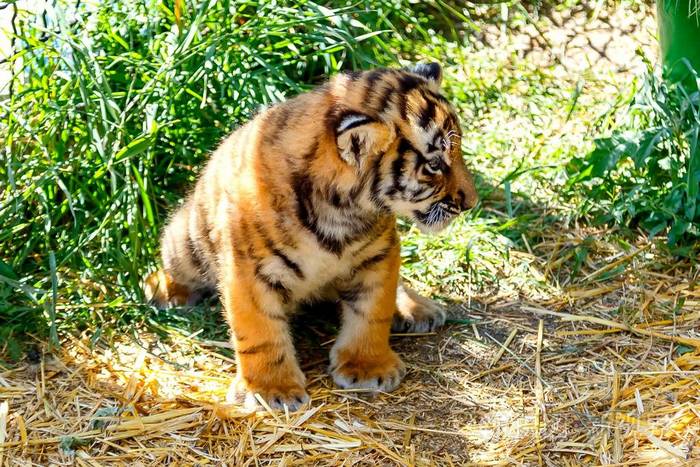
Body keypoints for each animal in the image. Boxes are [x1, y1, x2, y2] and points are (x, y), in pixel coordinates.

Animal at [144, 62, 478, 411]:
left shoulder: (380, 253)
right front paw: (271, 390)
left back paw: (417, 310)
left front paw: (368, 367)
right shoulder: (248, 271)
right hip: (183, 244)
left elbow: (373, 311)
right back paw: (164, 290)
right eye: (435, 164)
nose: (472, 202)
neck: (342, 212)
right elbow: (259, 331)